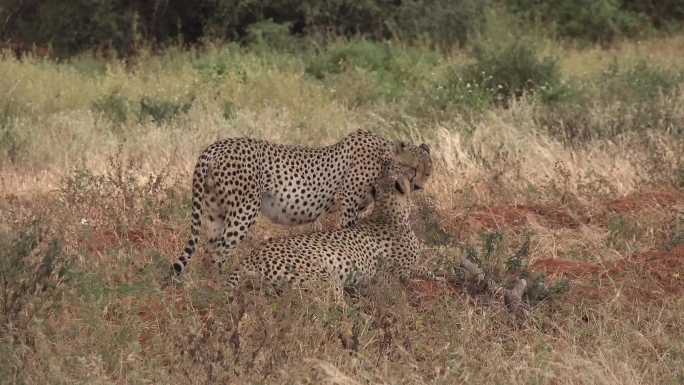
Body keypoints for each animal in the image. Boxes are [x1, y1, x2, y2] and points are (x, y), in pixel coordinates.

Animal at [172, 130, 432, 274]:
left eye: (428, 171)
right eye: (412, 168)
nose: (419, 185)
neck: (383, 158)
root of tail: (215, 147)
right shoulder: (347, 207)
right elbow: (349, 237)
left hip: (215, 211)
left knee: (208, 249)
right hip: (244, 210)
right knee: (220, 250)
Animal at [224, 160, 428, 302]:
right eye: (405, 169)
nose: (415, 170)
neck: (386, 211)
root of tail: (249, 257)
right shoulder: (396, 276)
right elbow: (422, 273)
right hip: (323, 276)